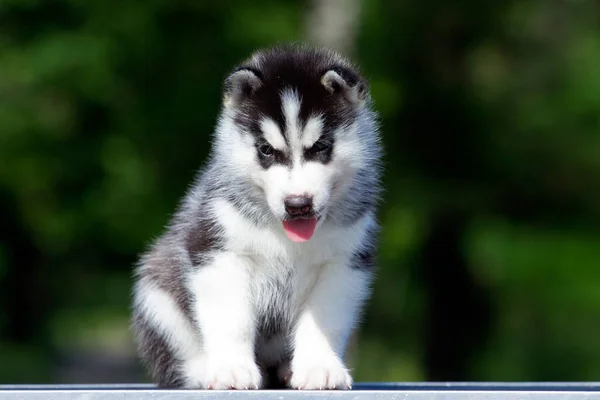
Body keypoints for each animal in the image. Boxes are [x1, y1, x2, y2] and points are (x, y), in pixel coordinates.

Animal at [132, 44, 384, 390]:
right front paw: (230, 368)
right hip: (155, 294)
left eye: (321, 146)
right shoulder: (217, 250)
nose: (297, 204)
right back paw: (203, 370)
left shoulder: (344, 262)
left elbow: (324, 320)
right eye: (266, 150)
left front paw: (319, 367)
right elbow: (232, 319)